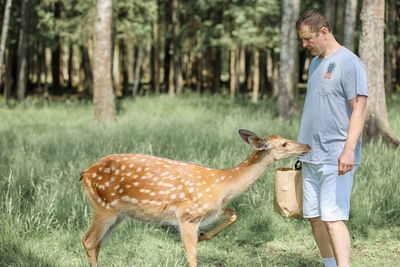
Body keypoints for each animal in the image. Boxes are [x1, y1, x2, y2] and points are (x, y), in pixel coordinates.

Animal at [79, 129, 310, 266]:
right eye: (284, 144)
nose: (307, 146)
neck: (221, 187)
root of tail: (85, 174)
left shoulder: (213, 210)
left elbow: (233, 213)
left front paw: (204, 236)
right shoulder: (188, 216)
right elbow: (192, 255)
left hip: (118, 215)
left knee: (97, 243)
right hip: (104, 207)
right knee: (88, 240)